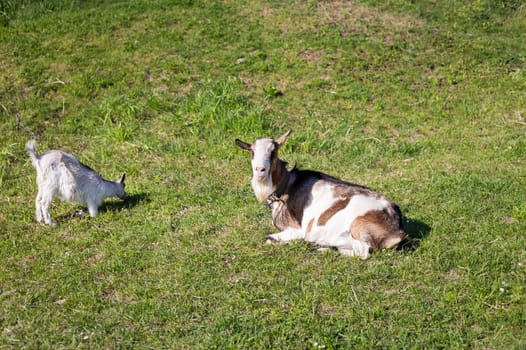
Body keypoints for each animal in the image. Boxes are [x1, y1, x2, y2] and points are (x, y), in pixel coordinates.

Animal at [236, 130, 412, 258]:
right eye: (252, 152)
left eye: (273, 152)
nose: (260, 170)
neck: (286, 186)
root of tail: (397, 226)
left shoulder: (297, 228)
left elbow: (268, 238)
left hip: (359, 226)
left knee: (364, 251)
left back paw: (320, 247)